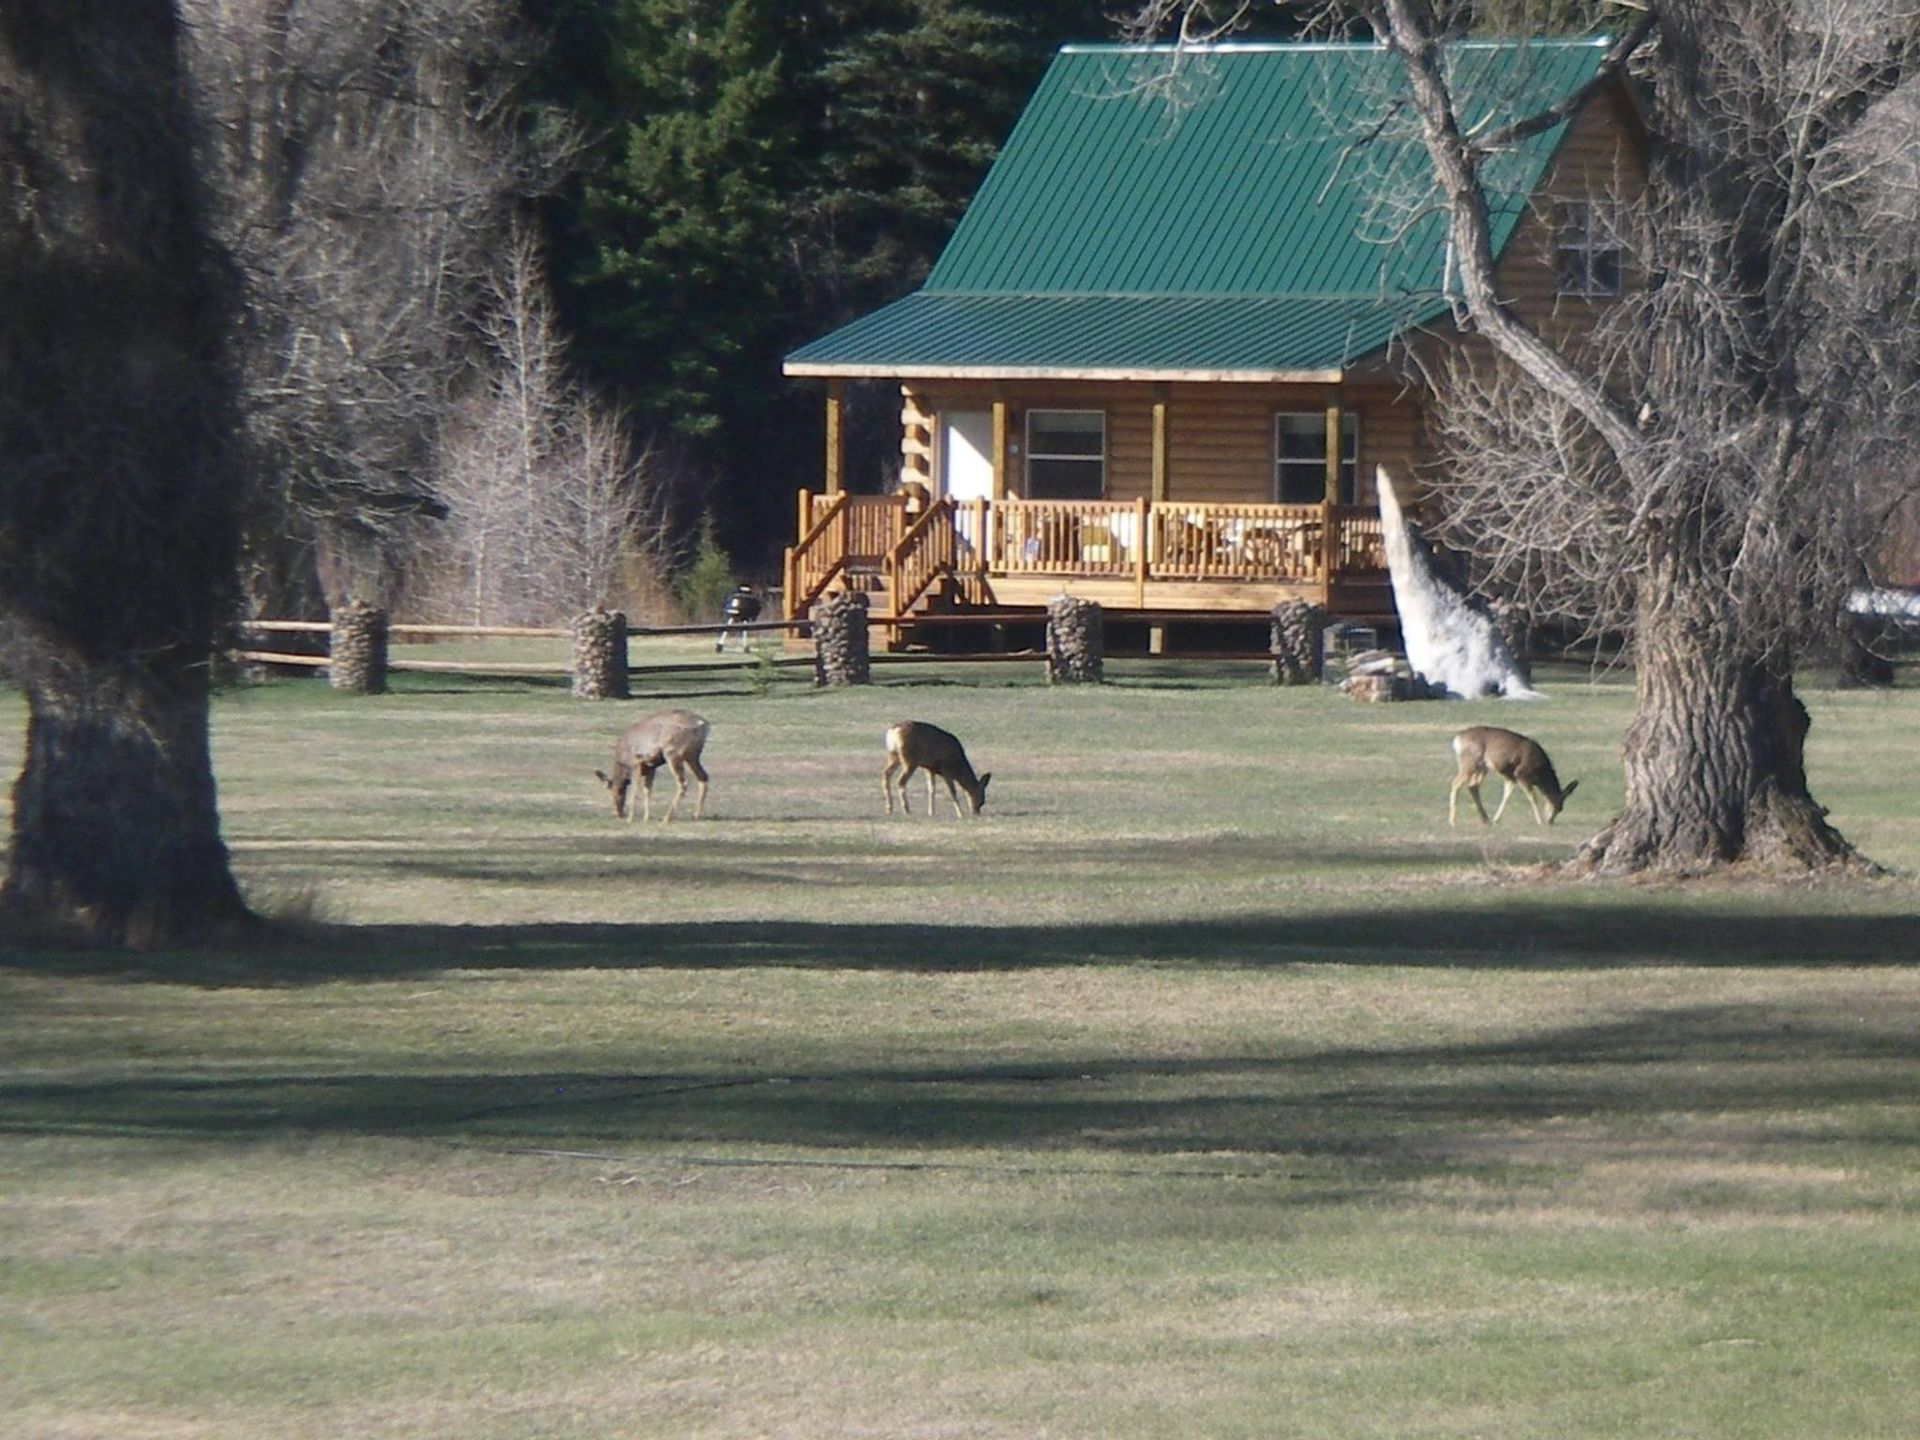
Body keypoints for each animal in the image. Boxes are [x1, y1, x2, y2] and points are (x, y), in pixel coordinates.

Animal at [1449, 725, 1579, 828]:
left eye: (1561, 809)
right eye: (1556, 806)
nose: (1550, 821)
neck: (1540, 773)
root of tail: (1457, 740)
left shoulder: (1511, 778)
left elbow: (1506, 796)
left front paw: (1496, 819)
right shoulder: (1521, 774)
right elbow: (1532, 797)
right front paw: (1540, 821)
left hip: (1482, 768)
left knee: (1472, 786)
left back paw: (1486, 820)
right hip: (1469, 762)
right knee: (1456, 783)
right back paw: (1453, 821)